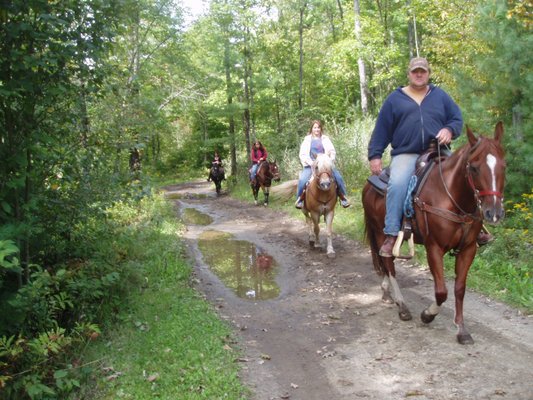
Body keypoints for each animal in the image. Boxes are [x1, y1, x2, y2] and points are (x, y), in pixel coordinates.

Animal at [360, 122, 504, 344]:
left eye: (503, 166)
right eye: (474, 167)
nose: (494, 213)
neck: (452, 198)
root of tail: (369, 183)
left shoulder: (468, 249)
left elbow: (459, 289)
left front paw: (462, 330)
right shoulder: (434, 248)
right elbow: (441, 291)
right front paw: (428, 314)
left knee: (385, 263)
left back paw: (387, 292)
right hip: (380, 233)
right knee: (389, 263)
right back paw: (402, 305)